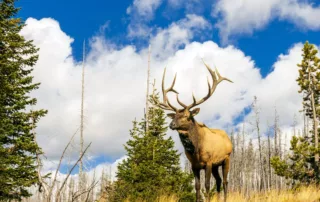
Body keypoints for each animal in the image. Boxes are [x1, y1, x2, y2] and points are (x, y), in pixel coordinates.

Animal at [152, 60, 232, 202]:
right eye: (175, 116)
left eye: (186, 116)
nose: (171, 124)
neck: (197, 150)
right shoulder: (194, 165)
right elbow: (197, 186)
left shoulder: (209, 162)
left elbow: (207, 185)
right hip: (216, 165)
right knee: (218, 181)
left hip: (227, 158)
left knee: (225, 181)